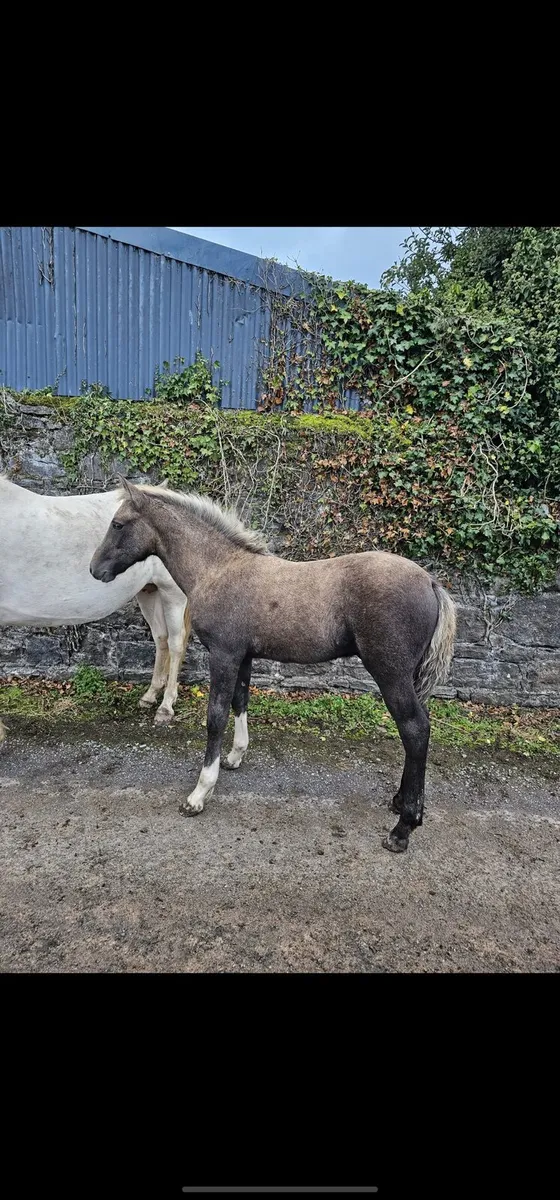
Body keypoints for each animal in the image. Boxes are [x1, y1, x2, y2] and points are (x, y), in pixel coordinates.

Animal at [0, 476, 191, 734]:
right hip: (149, 592)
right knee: (161, 639)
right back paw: (150, 696)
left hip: (173, 594)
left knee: (176, 644)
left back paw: (166, 706)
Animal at [90, 479, 456, 853]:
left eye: (118, 524)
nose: (95, 570)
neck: (217, 568)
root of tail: (430, 582)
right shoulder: (243, 656)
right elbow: (240, 702)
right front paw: (234, 757)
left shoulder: (223, 654)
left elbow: (215, 716)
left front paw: (199, 794)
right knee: (417, 730)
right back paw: (400, 803)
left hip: (390, 673)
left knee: (414, 729)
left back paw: (403, 828)